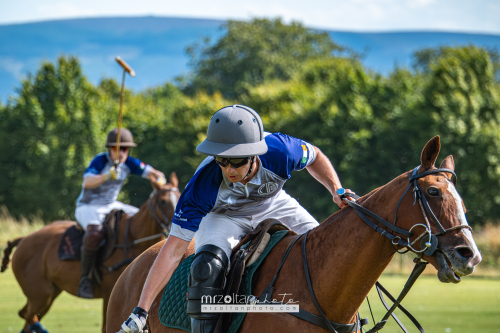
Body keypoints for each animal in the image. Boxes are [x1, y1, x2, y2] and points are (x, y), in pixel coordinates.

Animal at [1, 171, 182, 332]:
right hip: (40, 294)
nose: (175, 227)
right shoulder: (110, 293)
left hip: (49, 293)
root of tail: (24, 239)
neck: (132, 239)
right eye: (163, 202)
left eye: (180, 196)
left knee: (27, 316)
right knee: (27, 315)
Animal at [107, 136, 482, 332]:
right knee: (205, 264)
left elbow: (310, 153)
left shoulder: (281, 151)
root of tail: (135, 267)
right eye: (433, 192)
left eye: (461, 199)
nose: (470, 255)